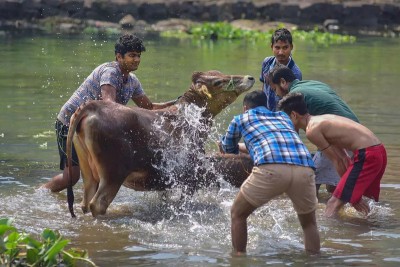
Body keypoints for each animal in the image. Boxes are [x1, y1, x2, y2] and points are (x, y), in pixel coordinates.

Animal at [65, 70, 253, 218]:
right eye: (218, 82)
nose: (249, 77)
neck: (190, 120)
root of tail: (92, 106)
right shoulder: (190, 173)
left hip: (88, 171)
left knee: (85, 202)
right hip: (113, 173)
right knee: (97, 204)